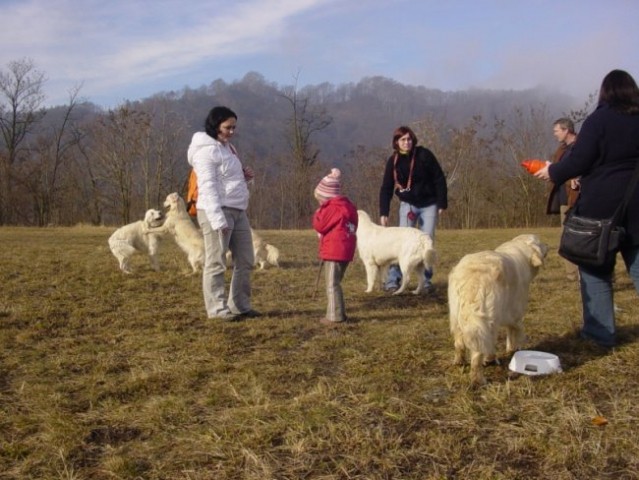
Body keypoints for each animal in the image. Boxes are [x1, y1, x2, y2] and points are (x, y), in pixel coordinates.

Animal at [450, 233, 552, 386]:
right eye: (539, 242)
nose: (548, 245)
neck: (521, 249)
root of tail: (474, 278)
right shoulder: (517, 314)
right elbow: (515, 334)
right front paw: (513, 350)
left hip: (457, 317)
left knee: (460, 343)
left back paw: (460, 361)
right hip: (489, 320)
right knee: (480, 351)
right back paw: (480, 376)